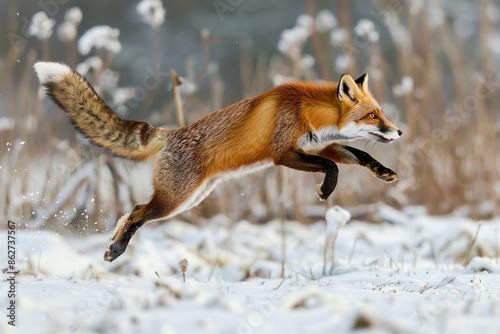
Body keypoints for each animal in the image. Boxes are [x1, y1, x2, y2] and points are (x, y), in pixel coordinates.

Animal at [33, 62, 402, 260]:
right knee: (137, 212)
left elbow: (359, 155)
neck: (308, 112)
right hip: (174, 201)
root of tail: (170, 134)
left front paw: (383, 172)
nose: (398, 131)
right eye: (372, 116)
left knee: (133, 210)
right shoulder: (282, 154)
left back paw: (115, 243)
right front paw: (326, 191)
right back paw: (116, 249)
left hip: (189, 200)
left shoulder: (321, 146)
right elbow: (334, 167)